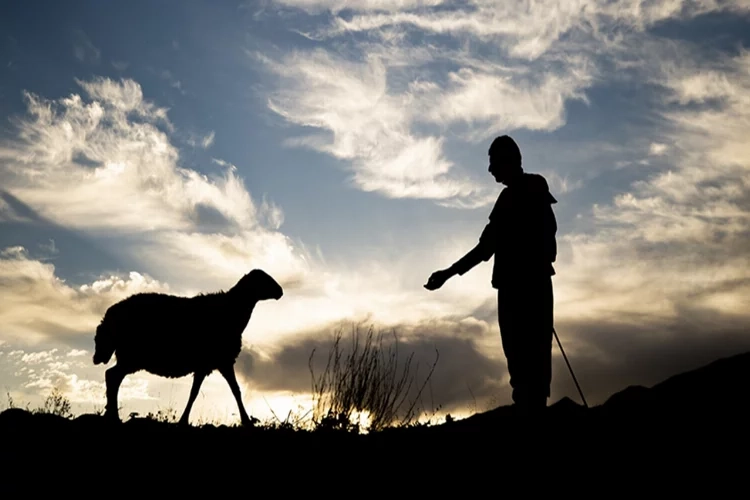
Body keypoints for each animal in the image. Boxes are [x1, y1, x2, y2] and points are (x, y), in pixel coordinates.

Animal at [92, 270, 284, 426]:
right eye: (264, 279)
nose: (280, 291)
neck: (232, 312)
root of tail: (108, 317)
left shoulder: (211, 364)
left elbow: (203, 392)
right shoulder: (219, 361)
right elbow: (225, 391)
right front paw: (246, 421)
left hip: (128, 357)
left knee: (112, 376)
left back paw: (111, 416)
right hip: (131, 356)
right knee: (112, 376)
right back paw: (113, 417)